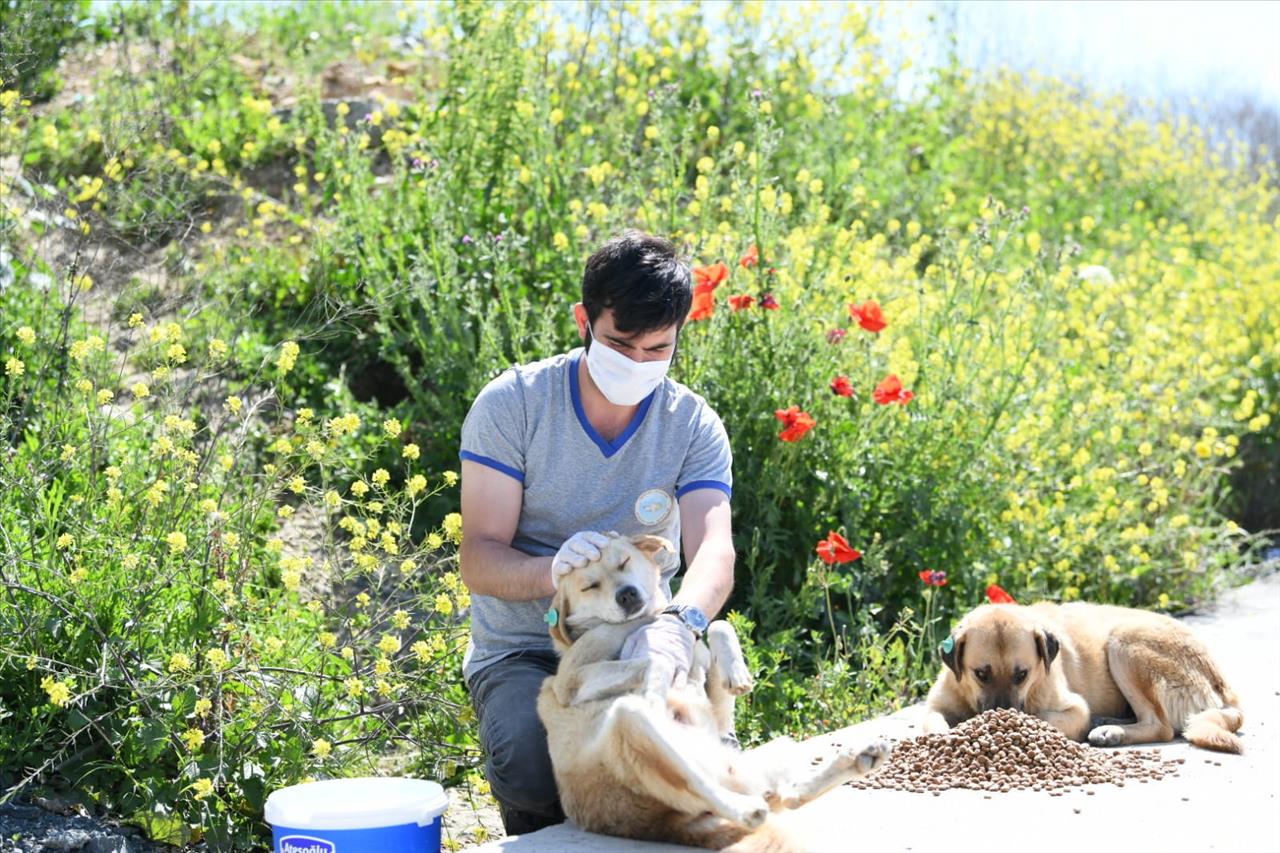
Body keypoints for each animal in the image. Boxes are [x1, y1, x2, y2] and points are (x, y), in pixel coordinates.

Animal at [535, 527, 885, 845]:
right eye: (589, 586)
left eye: (623, 561)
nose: (627, 594)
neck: (644, 620)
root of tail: (660, 824)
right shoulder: (569, 682)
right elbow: (655, 660)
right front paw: (656, 687)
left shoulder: (714, 707)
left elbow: (718, 625)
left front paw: (736, 672)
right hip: (629, 719)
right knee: (701, 784)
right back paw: (745, 809)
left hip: (777, 748)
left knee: (788, 796)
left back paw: (860, 758)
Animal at [926, 596, 1244, 753]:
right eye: (981, 674)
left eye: (1022, 675)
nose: (999, 715)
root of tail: (1223, 686)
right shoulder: (934, 707)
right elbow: (933, 723)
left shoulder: (1074, 708)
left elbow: (1042, 716)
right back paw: (1107, 722)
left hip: (1124, 641)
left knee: (1161, 726)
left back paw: (1111, 732)